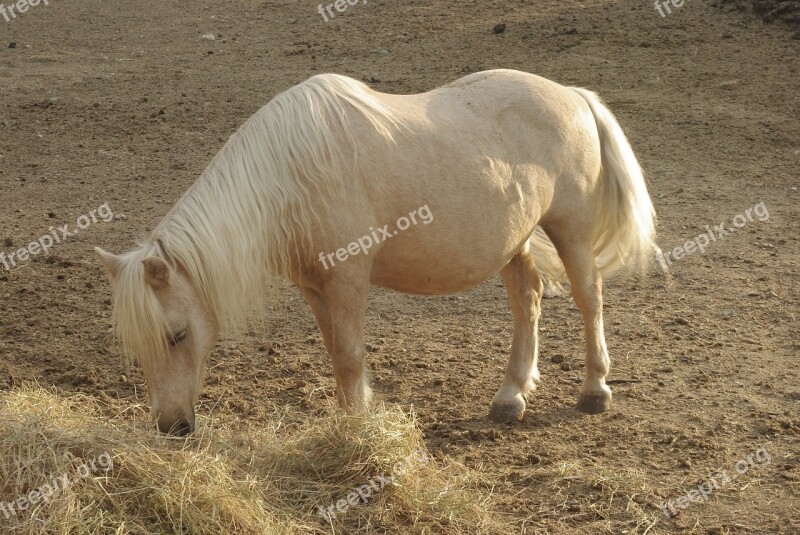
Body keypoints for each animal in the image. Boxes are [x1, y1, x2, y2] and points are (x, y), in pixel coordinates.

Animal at [95, 69, 656, 436]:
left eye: (177, 335)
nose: (171, 426)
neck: (292, 173)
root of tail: (573, 95)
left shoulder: (347, 277)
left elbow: (348, 356)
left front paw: (358, 431)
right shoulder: (314, 285)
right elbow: (336, 353)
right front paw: (355, 420)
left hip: (571, 230)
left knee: (589, 299)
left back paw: (594, 390)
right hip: (514, 243)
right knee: (528, 302)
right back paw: (510, 396)